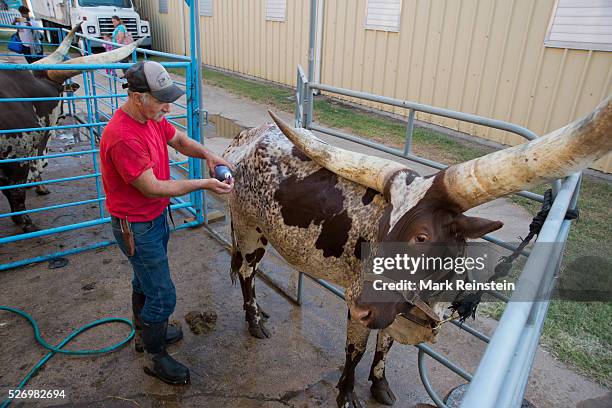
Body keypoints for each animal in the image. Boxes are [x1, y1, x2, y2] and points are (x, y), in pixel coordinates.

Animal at [0, 26, 143, 233]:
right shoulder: (17, 158)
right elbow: (16, 192)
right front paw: (26, 221)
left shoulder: (18, 157)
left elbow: (15, 192)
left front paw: (23, 218)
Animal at [225, 99, 612, 408]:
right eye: (381, 230)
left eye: (422, 236)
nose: (360, 305)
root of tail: (247, 138)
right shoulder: (365, 304)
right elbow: (356, 350)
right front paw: (346, 394)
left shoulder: (395, 309)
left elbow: (385, 346)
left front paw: (379, 384)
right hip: (248, 230)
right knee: (246, 273)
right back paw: (254, 321)